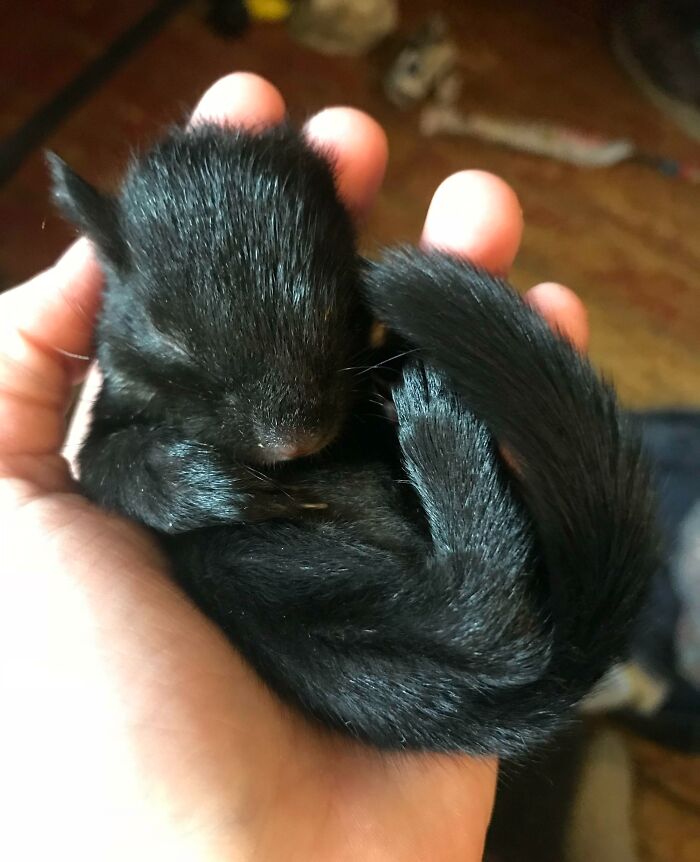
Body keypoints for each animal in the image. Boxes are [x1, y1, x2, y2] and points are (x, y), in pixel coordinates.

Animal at [49, 118, 656, 752]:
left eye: (342, 297)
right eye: (161, 329)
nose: (291, 441)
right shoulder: (109, 414)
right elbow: (109, 466)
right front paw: (224, 488)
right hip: (276, 582)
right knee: (486, 619)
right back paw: (436, 419)